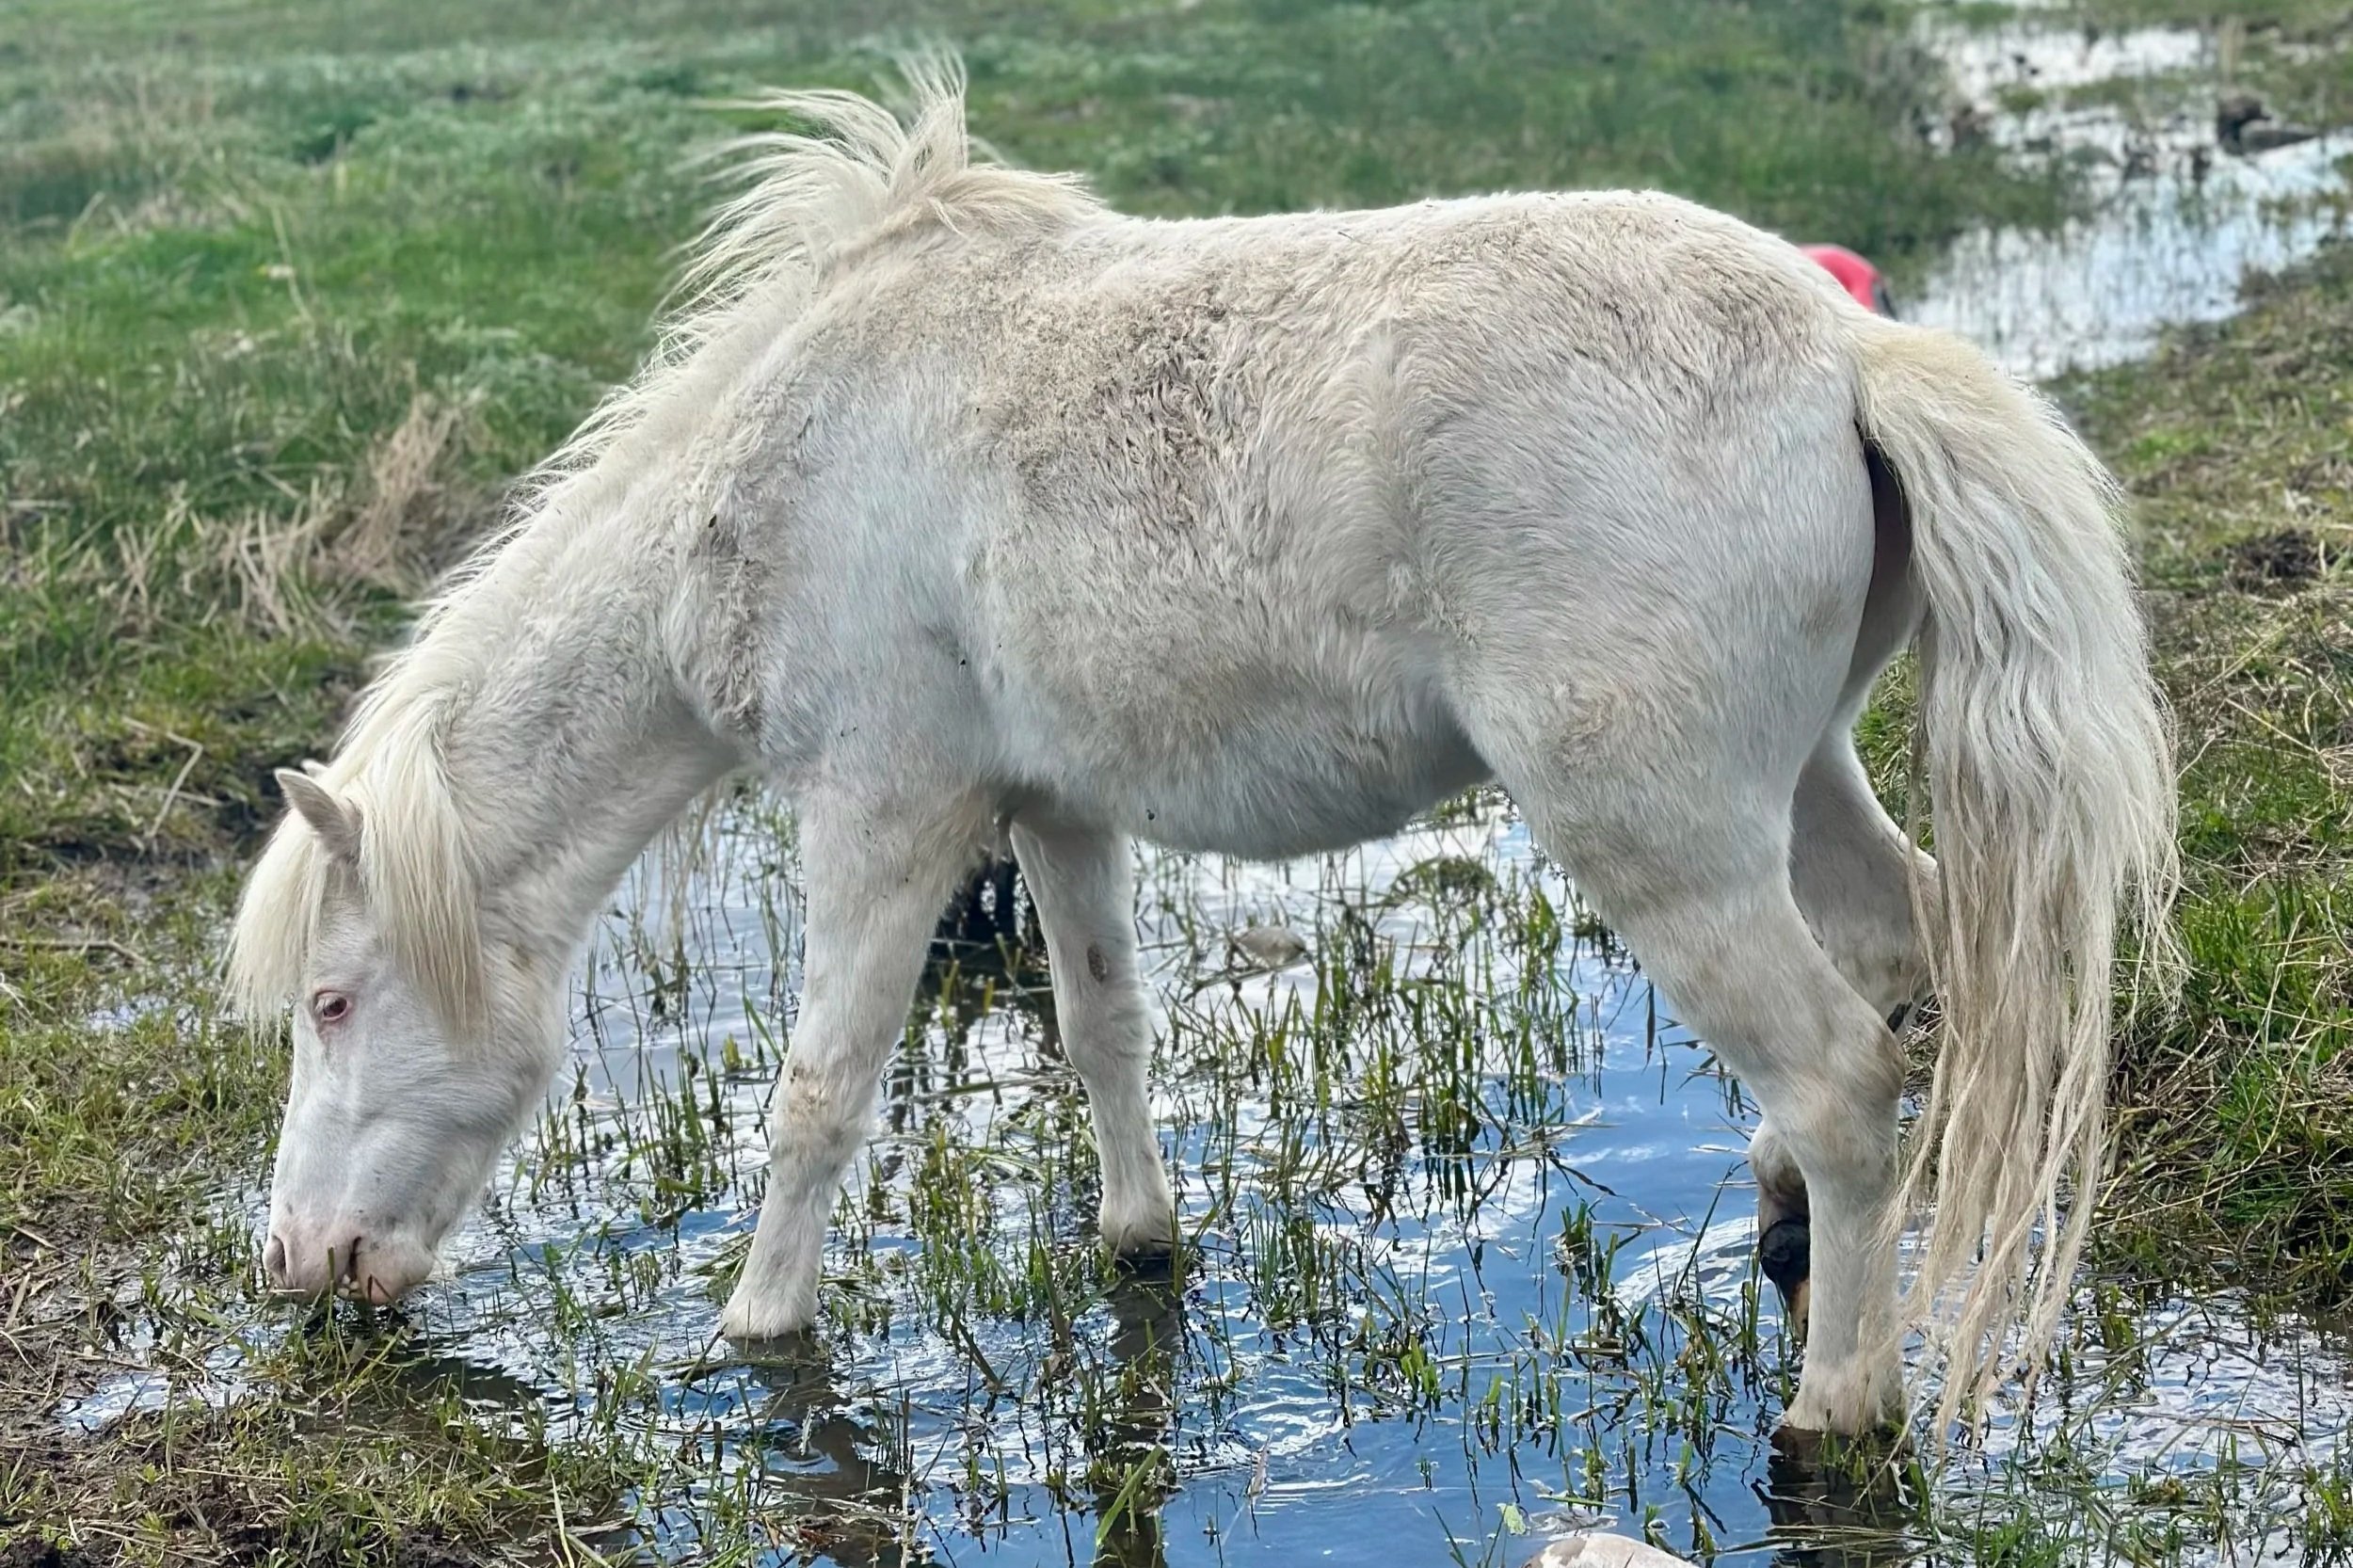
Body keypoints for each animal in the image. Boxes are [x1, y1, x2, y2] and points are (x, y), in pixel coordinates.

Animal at [227, 62, 2175, 1437]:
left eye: (332, 1001)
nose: (302, 1265)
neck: (790, 457)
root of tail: (1845, 346)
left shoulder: (885, 812)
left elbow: (818, 1089)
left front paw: (756, 1332)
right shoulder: (1053, 802)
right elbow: (1103, 1027)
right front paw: (1142, 1242)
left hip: (1660, 833)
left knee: (1844, 1072)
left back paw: (1838, 1406)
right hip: (1797, 781)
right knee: (1905, 949)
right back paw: (1782, 1229)